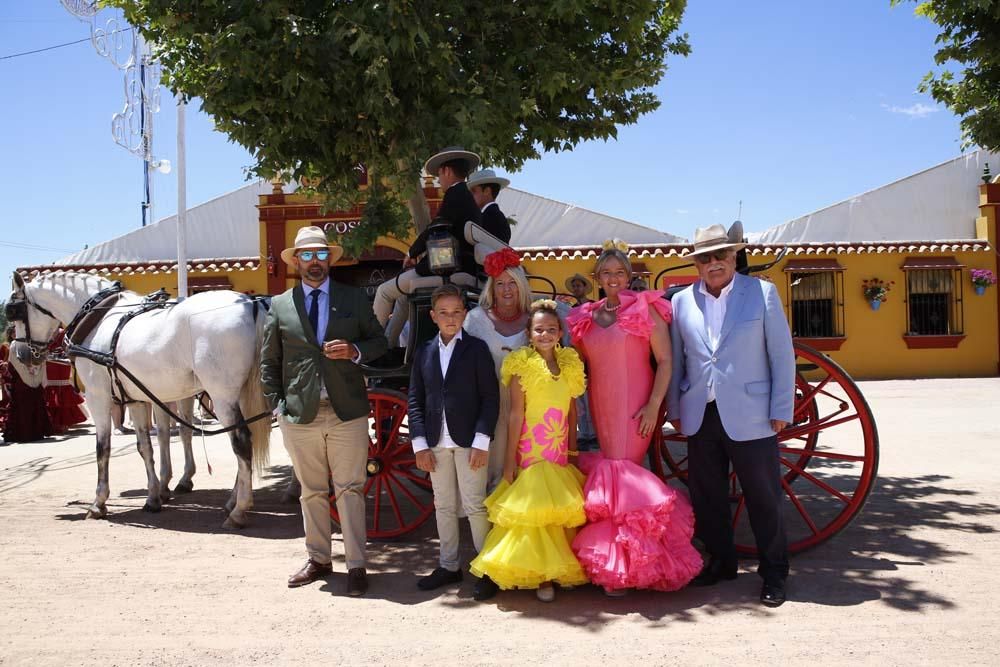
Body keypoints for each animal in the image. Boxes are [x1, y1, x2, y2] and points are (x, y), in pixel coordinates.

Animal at [7, 270, 272, 528]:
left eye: (15, 314)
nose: (22, 356)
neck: (99, 319)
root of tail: (250, 303)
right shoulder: (135, 398)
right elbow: (145, 446)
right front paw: (154, 497)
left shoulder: (97, 396)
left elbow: (102, 448)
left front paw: (98, 503)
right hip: (240, 394)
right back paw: (233, 500)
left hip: (222, 395)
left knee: (241, 442)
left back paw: (238, 510)